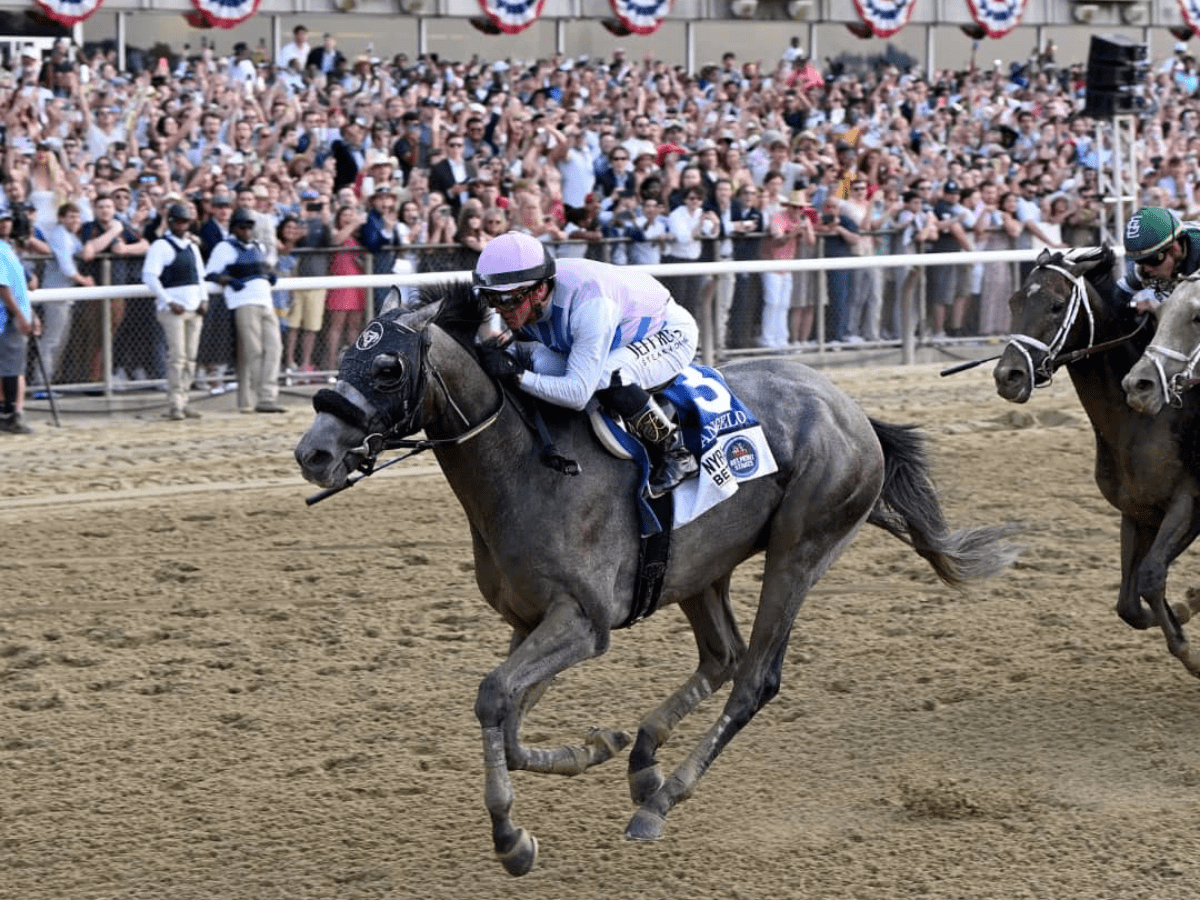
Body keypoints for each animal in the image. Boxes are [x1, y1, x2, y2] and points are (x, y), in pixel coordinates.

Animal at [295, 285, 1017, 878]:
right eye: (344, 353)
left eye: (387, 367)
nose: (313, 452)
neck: (530, 467)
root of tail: (855, 412)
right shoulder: (531, 622)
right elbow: (507, 716)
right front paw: (594, 748)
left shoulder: (583, 623)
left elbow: (495, 696)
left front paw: (511, 839)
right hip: (701, 566)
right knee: (723, 656)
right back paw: (643, 761)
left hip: (802, 549)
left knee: (755, 678)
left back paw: (661, 800)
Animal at [988, 247, 1200, 676]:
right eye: (1013, 302)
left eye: (1056, 305)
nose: (1008, 376)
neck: (1141, 419)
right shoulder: (1137, 512)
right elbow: (1130, 603)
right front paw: (1185, 606)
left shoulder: (1190, 501)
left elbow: (1151, 576)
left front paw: (1190, 648)